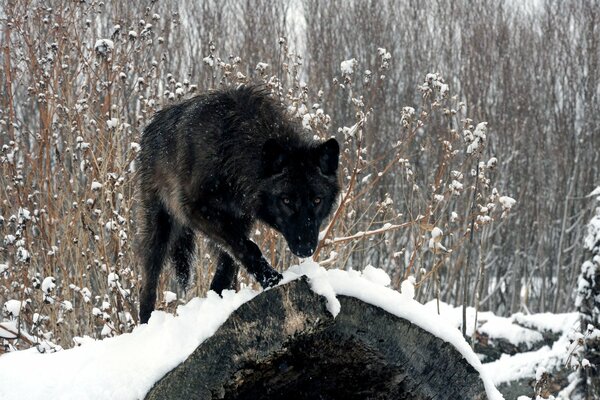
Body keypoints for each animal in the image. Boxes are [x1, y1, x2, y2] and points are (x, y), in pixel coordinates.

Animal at [138, 86, 340, 324]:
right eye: (286, 200)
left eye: (317, 200)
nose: (305, 247)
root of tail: (152, 124)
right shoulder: (196, 210)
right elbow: (248, 247)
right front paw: (272, 279)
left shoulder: (240, 220)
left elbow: (231, 262)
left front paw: (220, 300)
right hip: (160, 229)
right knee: (148, 282)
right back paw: (146, 323)